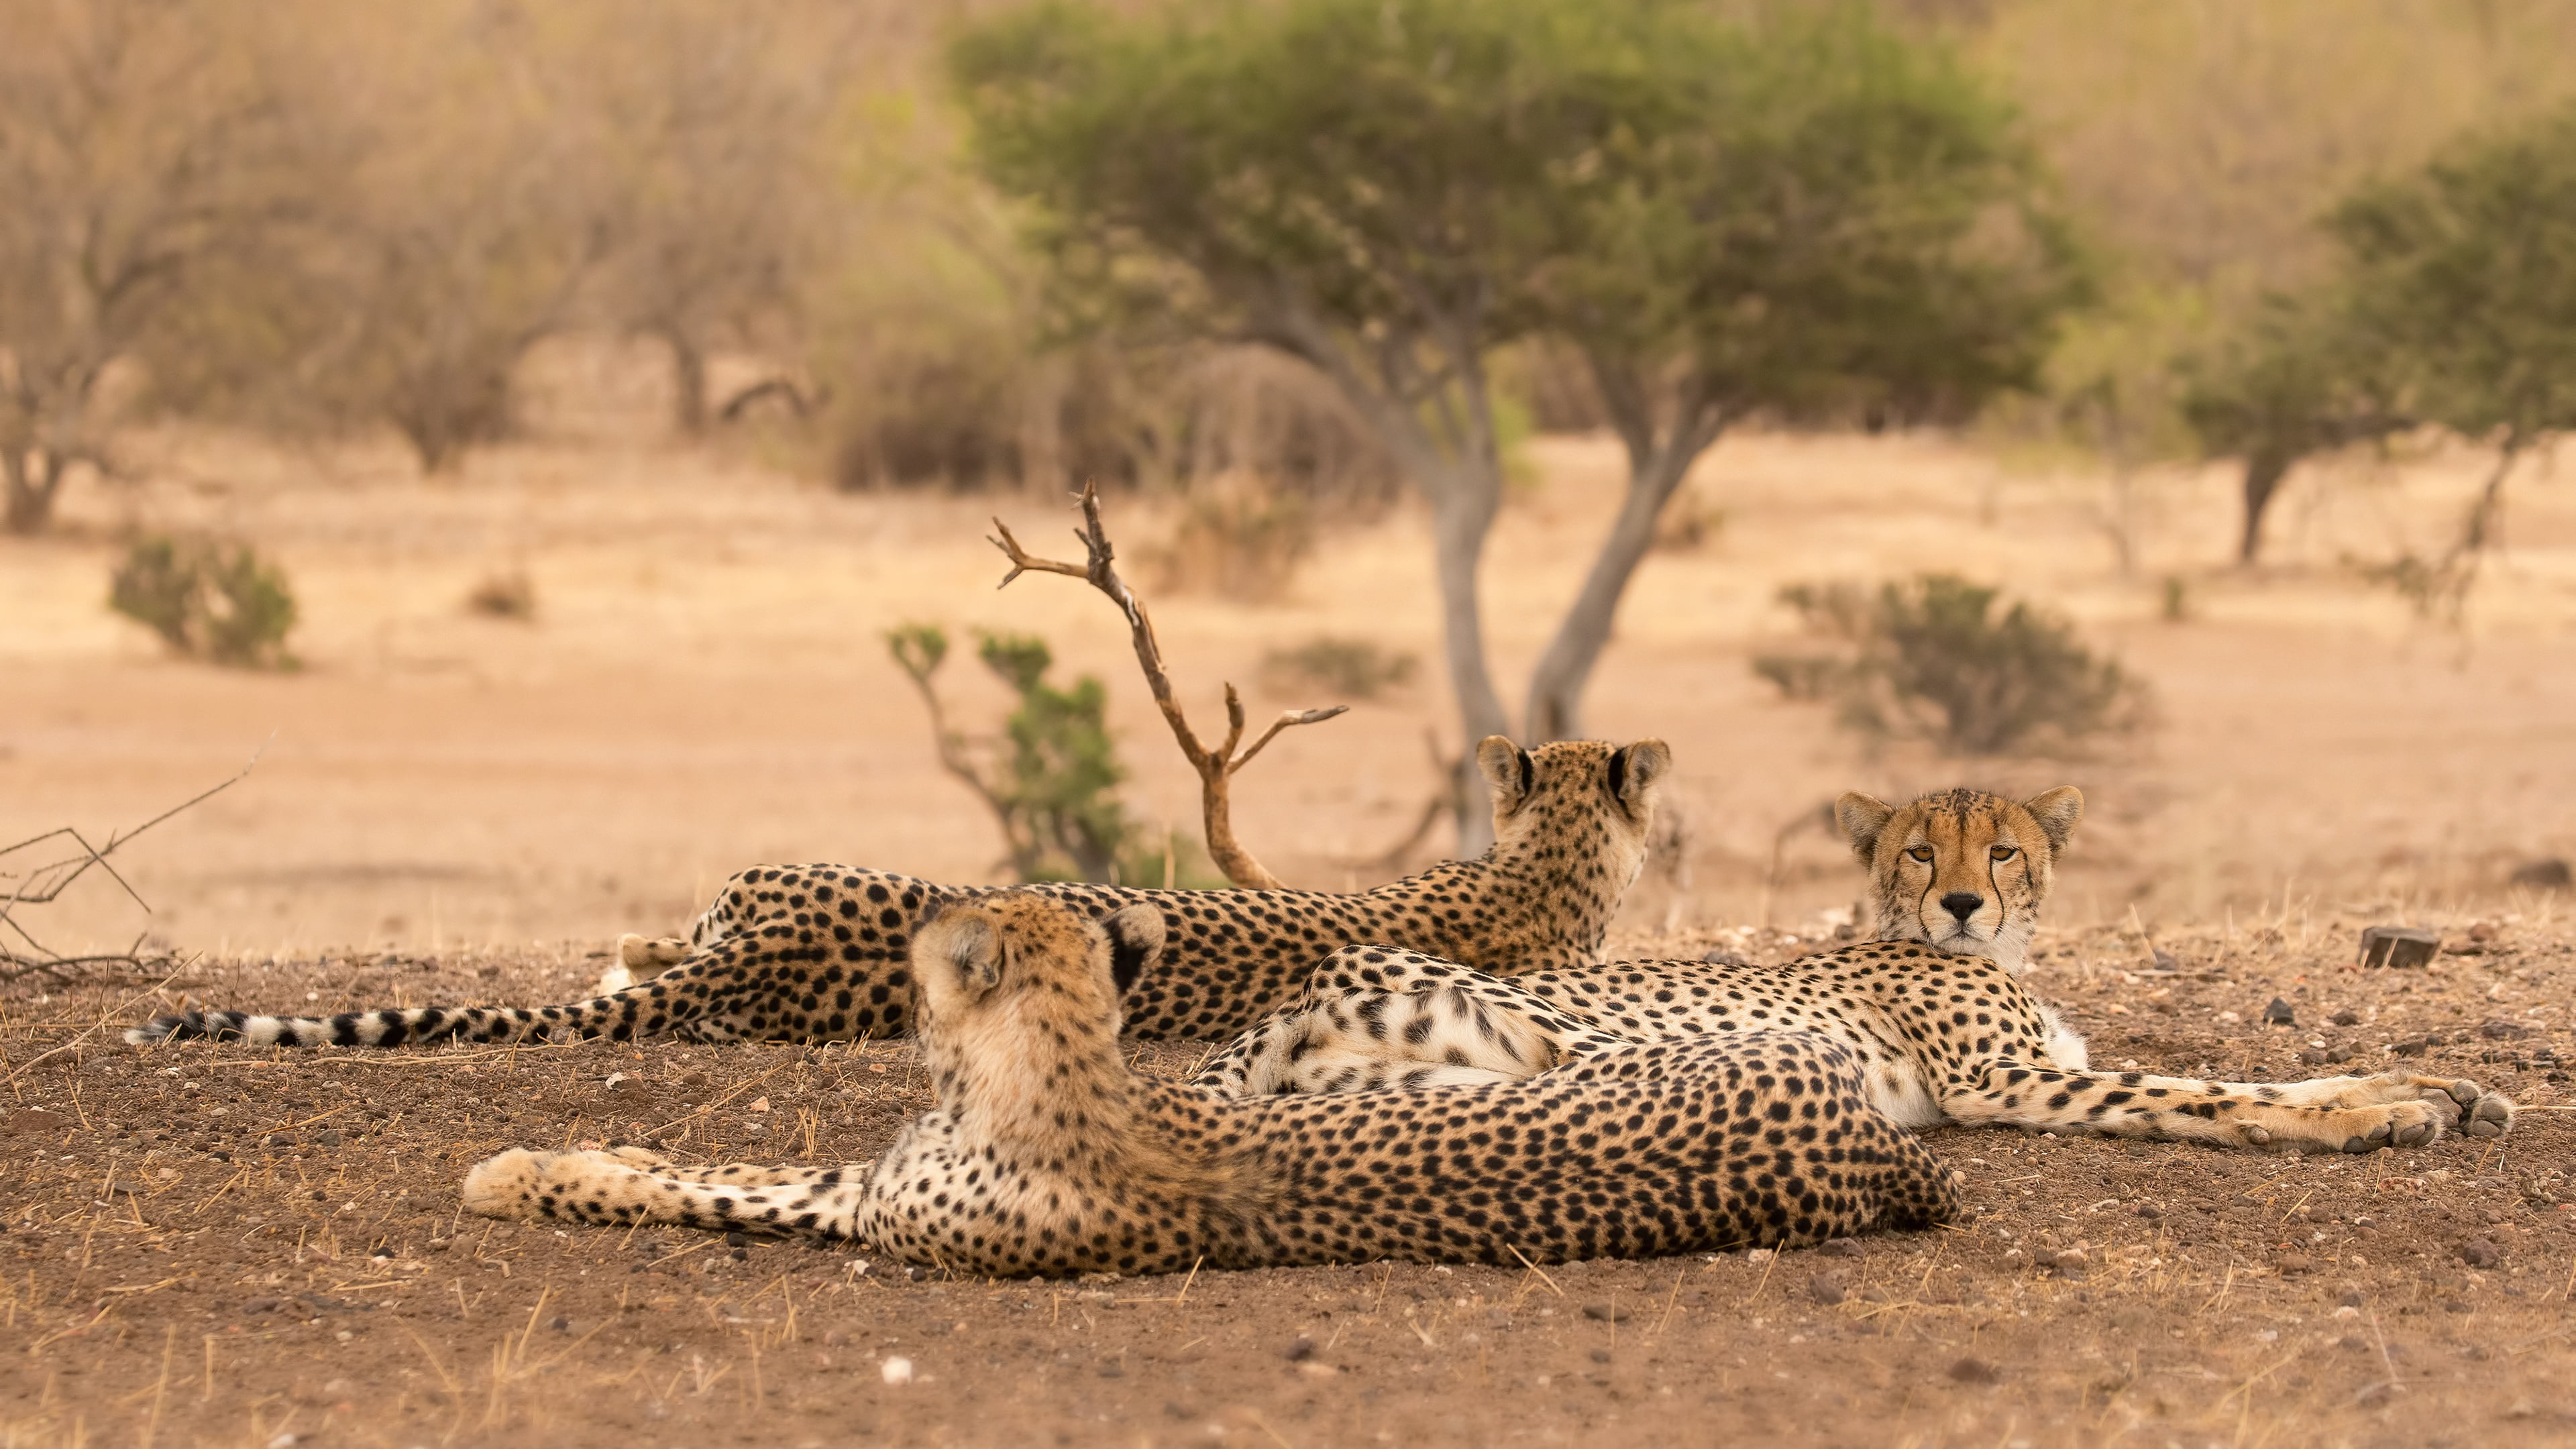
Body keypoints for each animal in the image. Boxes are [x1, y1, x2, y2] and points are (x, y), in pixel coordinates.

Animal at [1191, 785, 2518, 1156]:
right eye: (1921, 848)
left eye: (2003, 848)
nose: (1965, 900)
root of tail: (1301, 990)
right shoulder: (2003, 1082)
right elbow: (2207, 1097)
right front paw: (2384, 1116)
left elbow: (2266, 1076)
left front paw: (2439, 1088)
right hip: (1586, 1037)